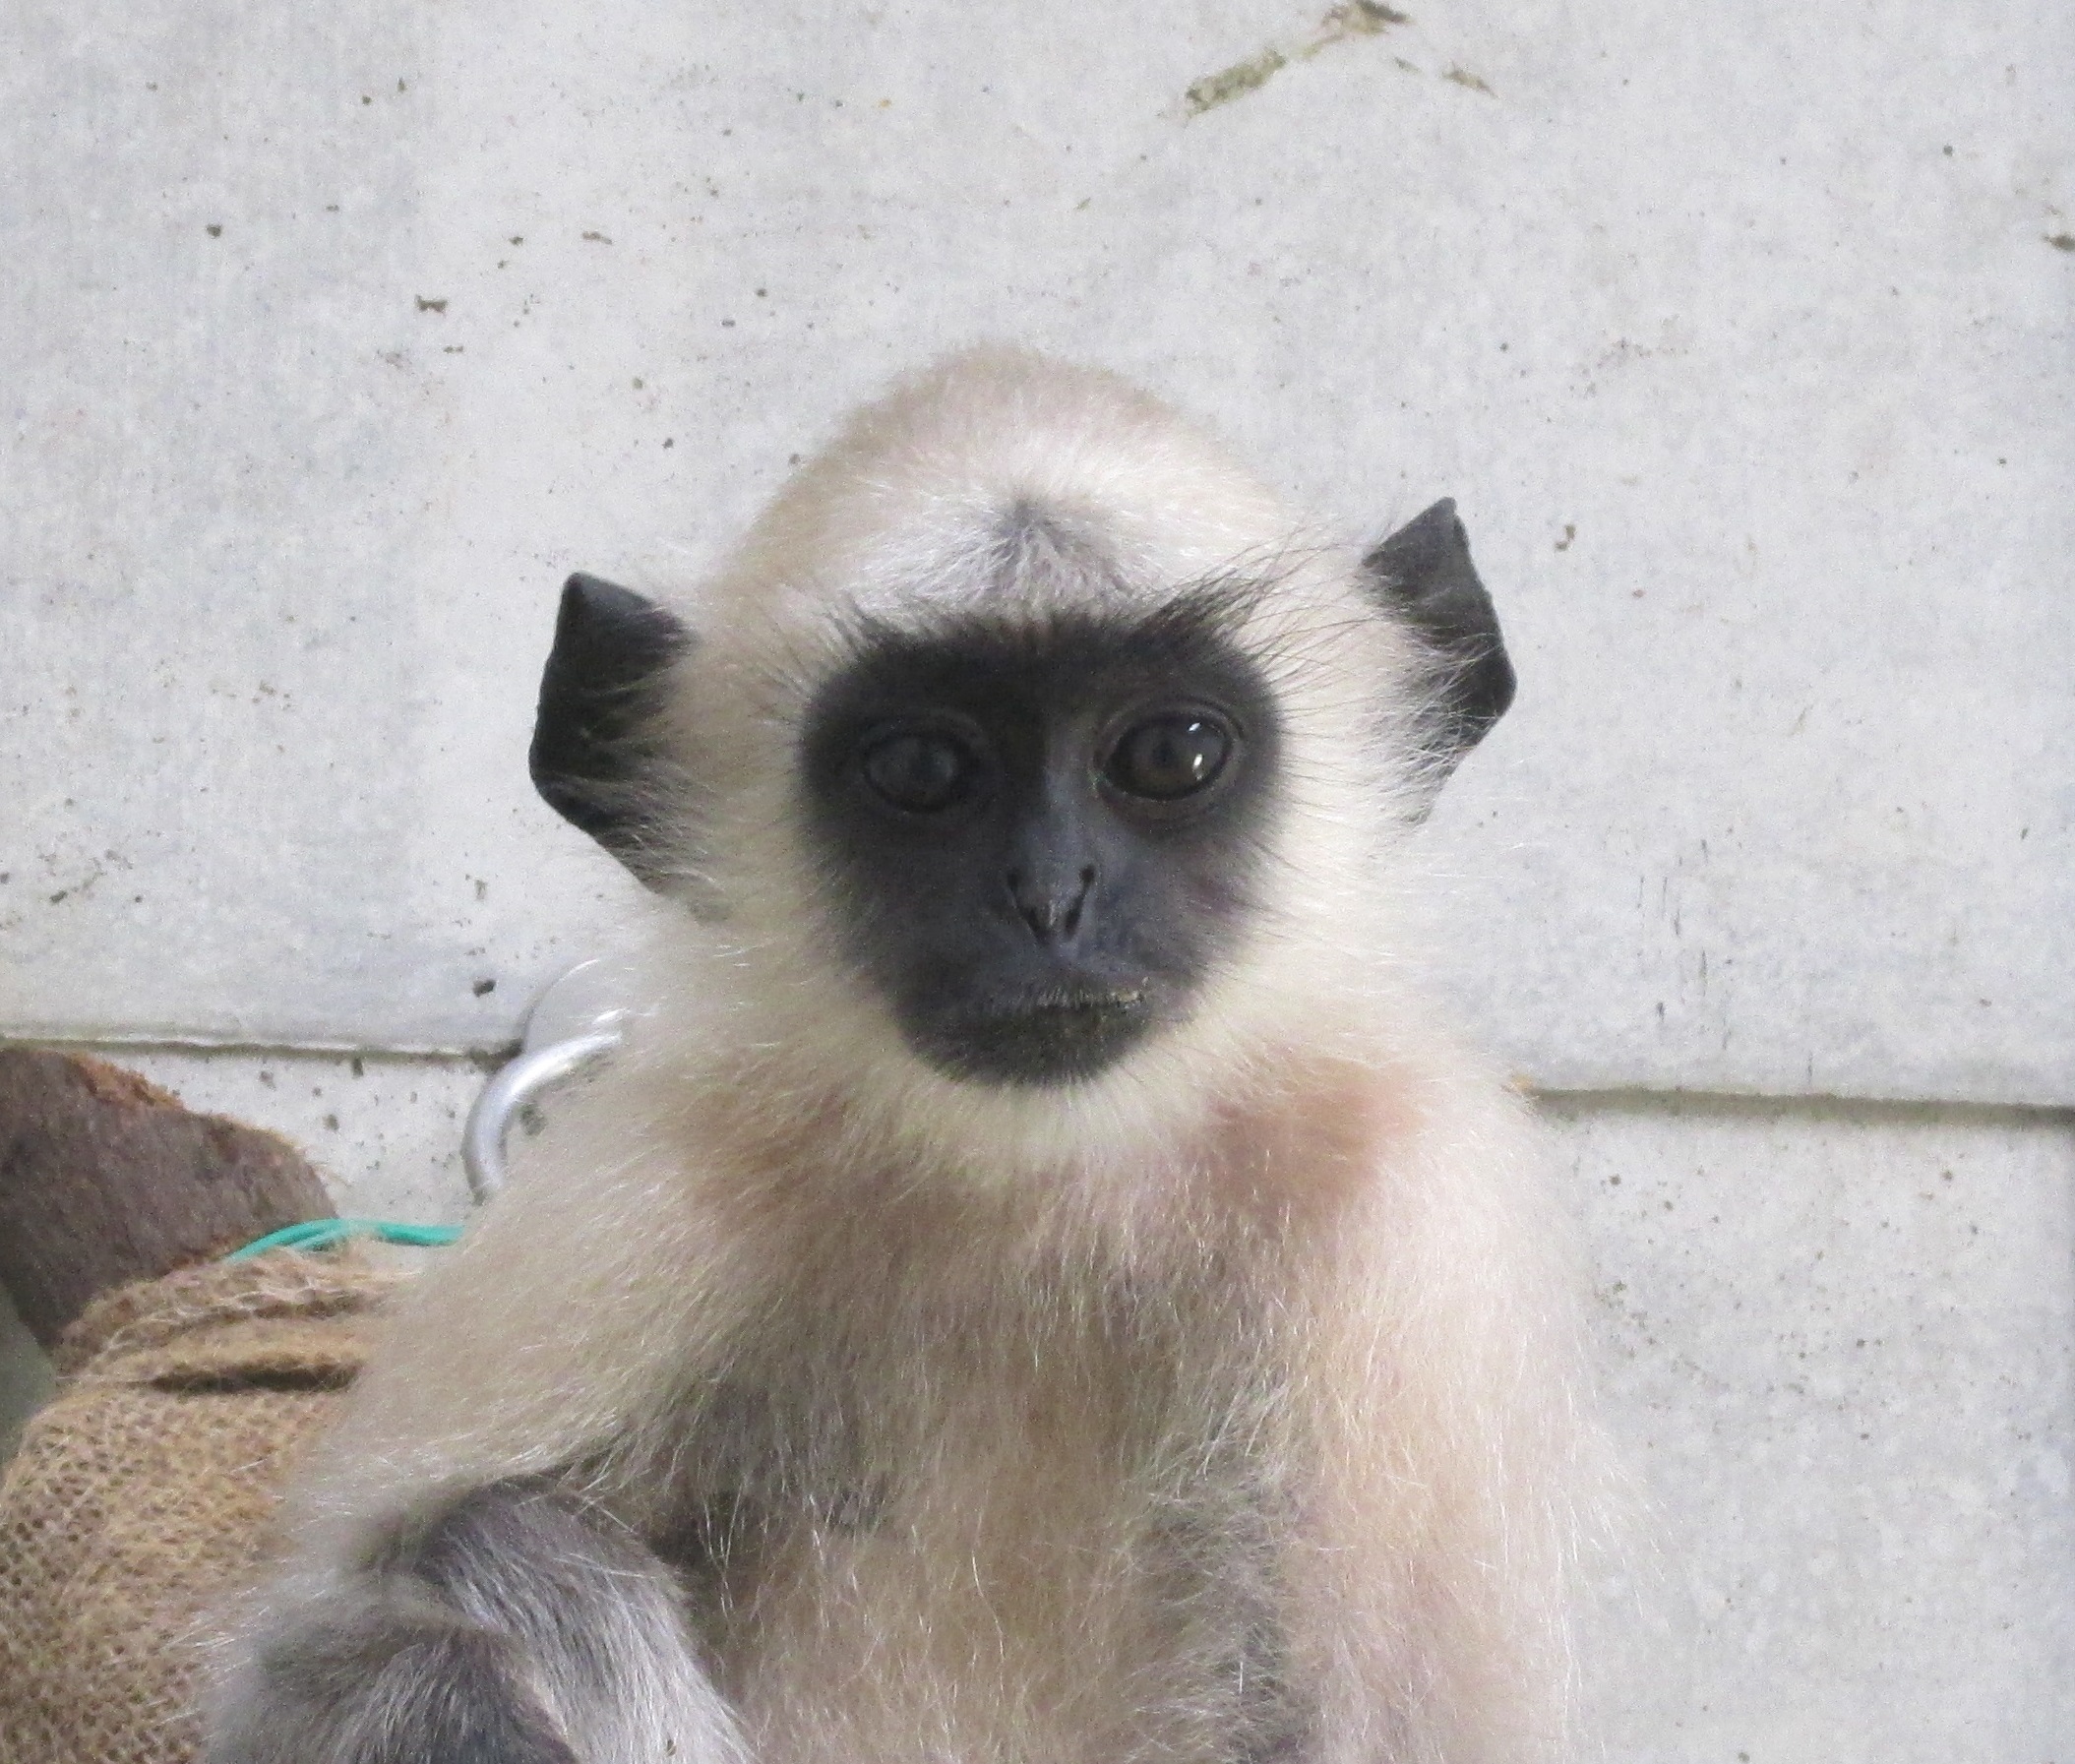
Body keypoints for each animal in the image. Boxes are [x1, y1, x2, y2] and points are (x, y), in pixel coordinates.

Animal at [202, 346, 1585, 1759]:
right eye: (923, 768)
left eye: (1170, 753)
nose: (1050, 898)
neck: (1048, 1186)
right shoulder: (653, 1192)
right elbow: (309, 1639)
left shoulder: (1405, 1204)